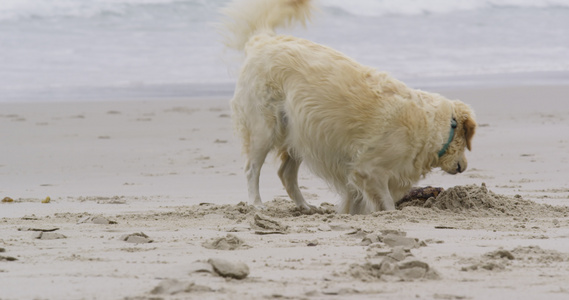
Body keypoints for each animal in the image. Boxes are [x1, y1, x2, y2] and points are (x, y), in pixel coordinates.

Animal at [221, 0, 474, 216]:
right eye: (465, 140)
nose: (464, 167)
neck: (430, 125)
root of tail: (263, 40)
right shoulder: (369, 169)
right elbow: (385, 202)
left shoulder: (357, 172)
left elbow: (355, 198)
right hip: (265, 128)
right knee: (252, 168)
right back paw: (257, 204)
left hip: (302, 131)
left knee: (286, 173)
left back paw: (305, 206)